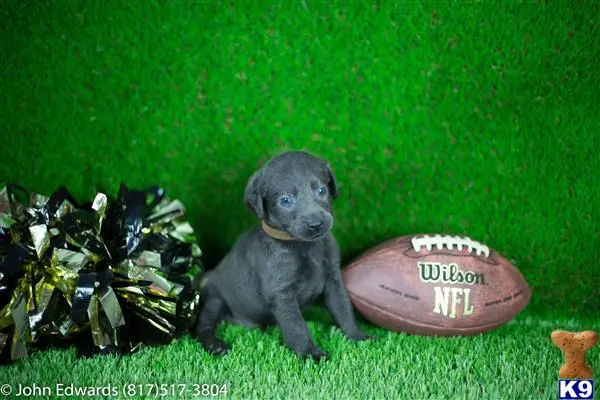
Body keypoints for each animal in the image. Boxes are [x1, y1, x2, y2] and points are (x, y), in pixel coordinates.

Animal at [197, 151, 372, 362]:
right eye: (285, 200)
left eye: (322, 190)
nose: (316, 224)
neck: (304, 247)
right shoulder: (281, 292)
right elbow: (296, 325)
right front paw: (309, 353)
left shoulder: (333, 279)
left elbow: (343, 308)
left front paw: (357, 335)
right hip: (213, 299)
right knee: (203, 326)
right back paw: (215, 345)